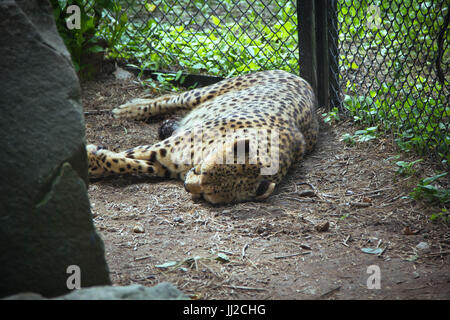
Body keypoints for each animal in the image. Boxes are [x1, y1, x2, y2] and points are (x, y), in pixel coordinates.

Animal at [87, 70, 320, 205]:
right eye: (203, 171)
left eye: (206, 195)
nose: (187, 188)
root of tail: (302, 78)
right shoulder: (164, 148)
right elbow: (127, 155)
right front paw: (91, 159)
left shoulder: (164, 165)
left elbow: (127, 163)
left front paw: (97, 164)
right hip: (203, 93)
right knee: (169, 98)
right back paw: (129, 109)